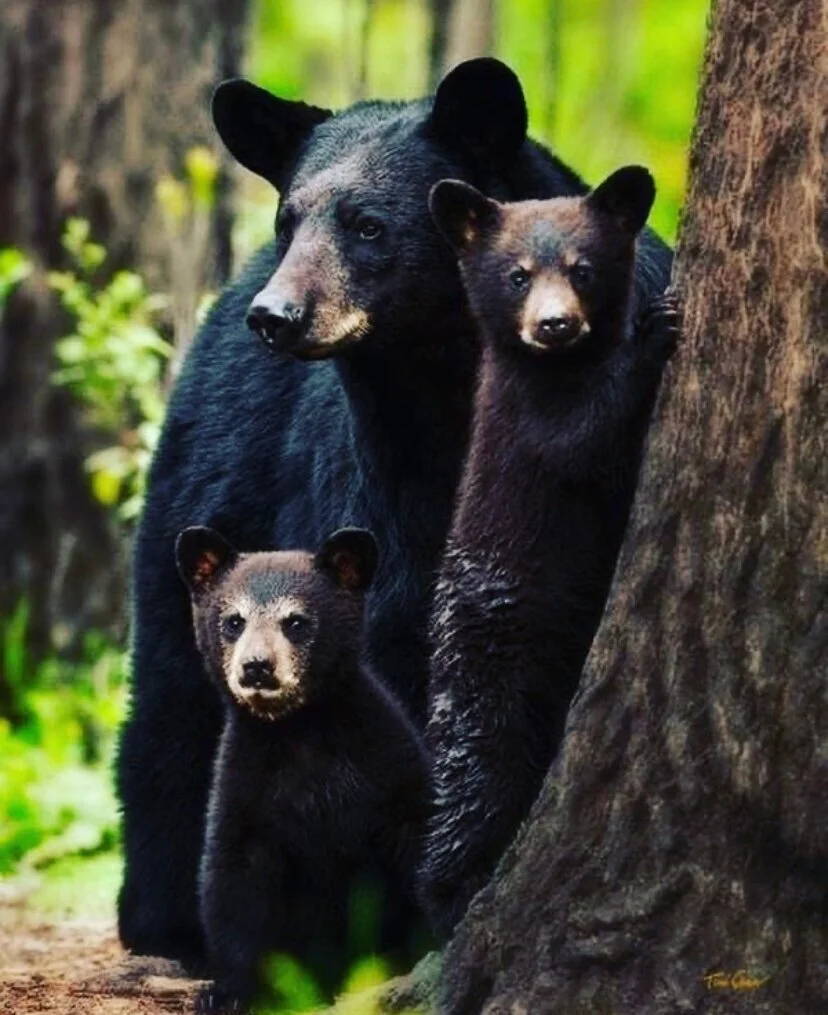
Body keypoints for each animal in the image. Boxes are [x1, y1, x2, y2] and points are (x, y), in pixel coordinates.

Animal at [175, 525, 432, 1013]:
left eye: (295, 622)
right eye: (233, 621)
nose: (257, 667)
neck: (300, 732)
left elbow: (418, 844)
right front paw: (227, 992)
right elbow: (232, 879)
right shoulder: (244, 786)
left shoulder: (391, 765)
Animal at [418, 167, 680, 937]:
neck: (560, 367)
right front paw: (655, 333)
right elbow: (583, 435)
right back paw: (455, 895)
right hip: (489, 673)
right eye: (517, 275)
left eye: (583, 269)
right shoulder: (525, 425)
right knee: (472, 786)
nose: (555, 324)